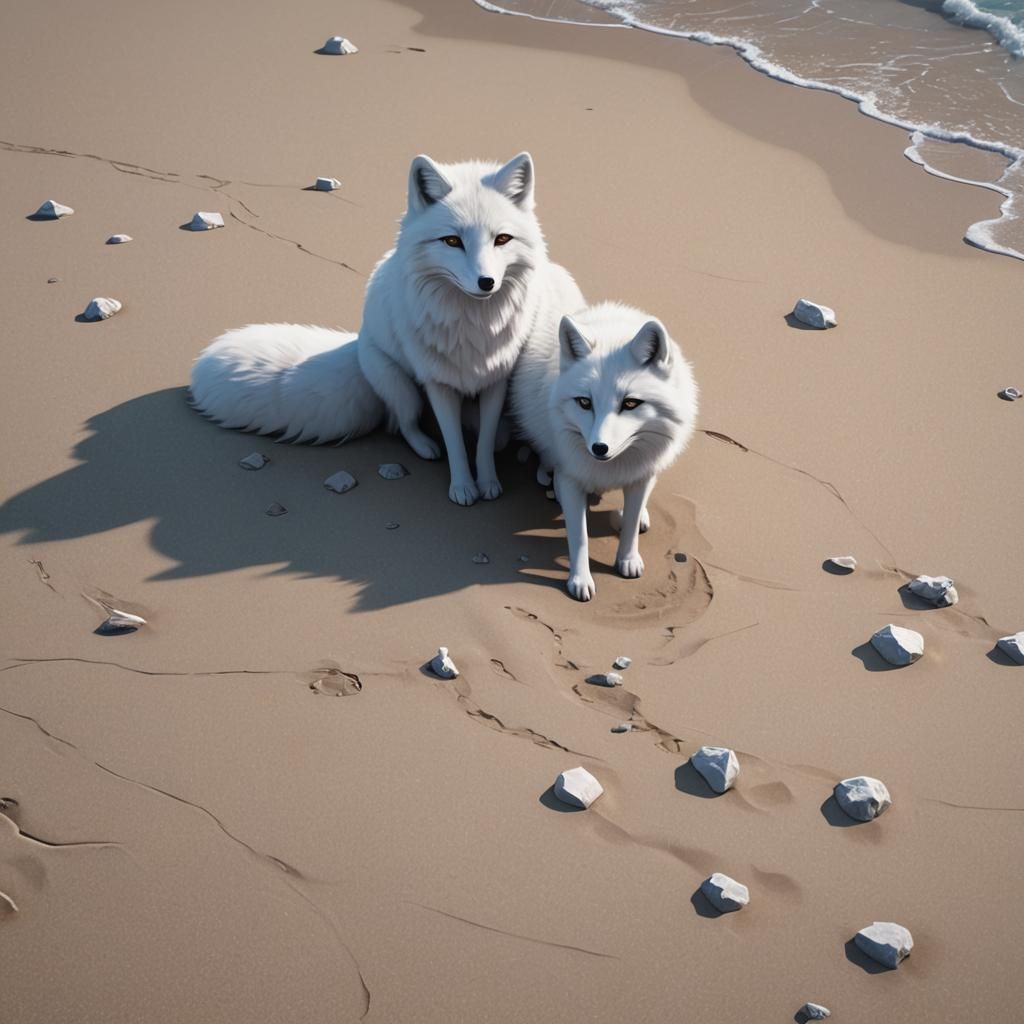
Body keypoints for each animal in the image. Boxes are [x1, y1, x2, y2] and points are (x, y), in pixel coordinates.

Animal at [190, 152, 584, 505]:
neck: (473, 326)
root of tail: (357, 341)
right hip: (402, 388)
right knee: (402, 424)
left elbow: (484, 441)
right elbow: (455, 442)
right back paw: (425, 446)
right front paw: (462, 487)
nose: (486, 282)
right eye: (452, 241)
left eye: (501, 239)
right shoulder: (438, 384)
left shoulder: (496, 381)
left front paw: (487, 482)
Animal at [510, 302, 699, 601]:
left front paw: (627, 560)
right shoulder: (571, 477)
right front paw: (580, 579)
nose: (599, 448)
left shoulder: (641, 477)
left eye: (631, 403)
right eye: (584, 402)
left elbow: (631, 524)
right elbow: (579, 536)